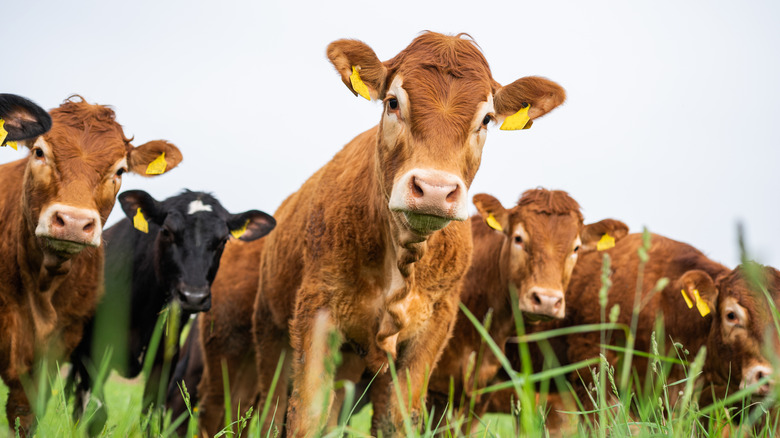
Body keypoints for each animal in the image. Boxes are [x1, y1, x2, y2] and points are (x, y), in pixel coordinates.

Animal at [0, 96, 181, 435]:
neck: (43, 285)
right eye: (39, 152)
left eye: (120, 170)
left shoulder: (62, 343)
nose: (73, 221)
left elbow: (25, 413)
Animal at [67, 189, 275, 433]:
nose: (194, 296)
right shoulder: (92, 353)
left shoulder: (164, 360)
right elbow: (97, 414)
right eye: (166, 231)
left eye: (223, 240)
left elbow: (151, 416)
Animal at [219, 32, 568, 438]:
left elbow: (397, 420)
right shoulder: (316, 312)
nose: (434, 189)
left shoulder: (432, 328)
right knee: (272, 411)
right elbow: (306, 415)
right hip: (271, 335)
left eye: (486, 119)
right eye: (393, 102)